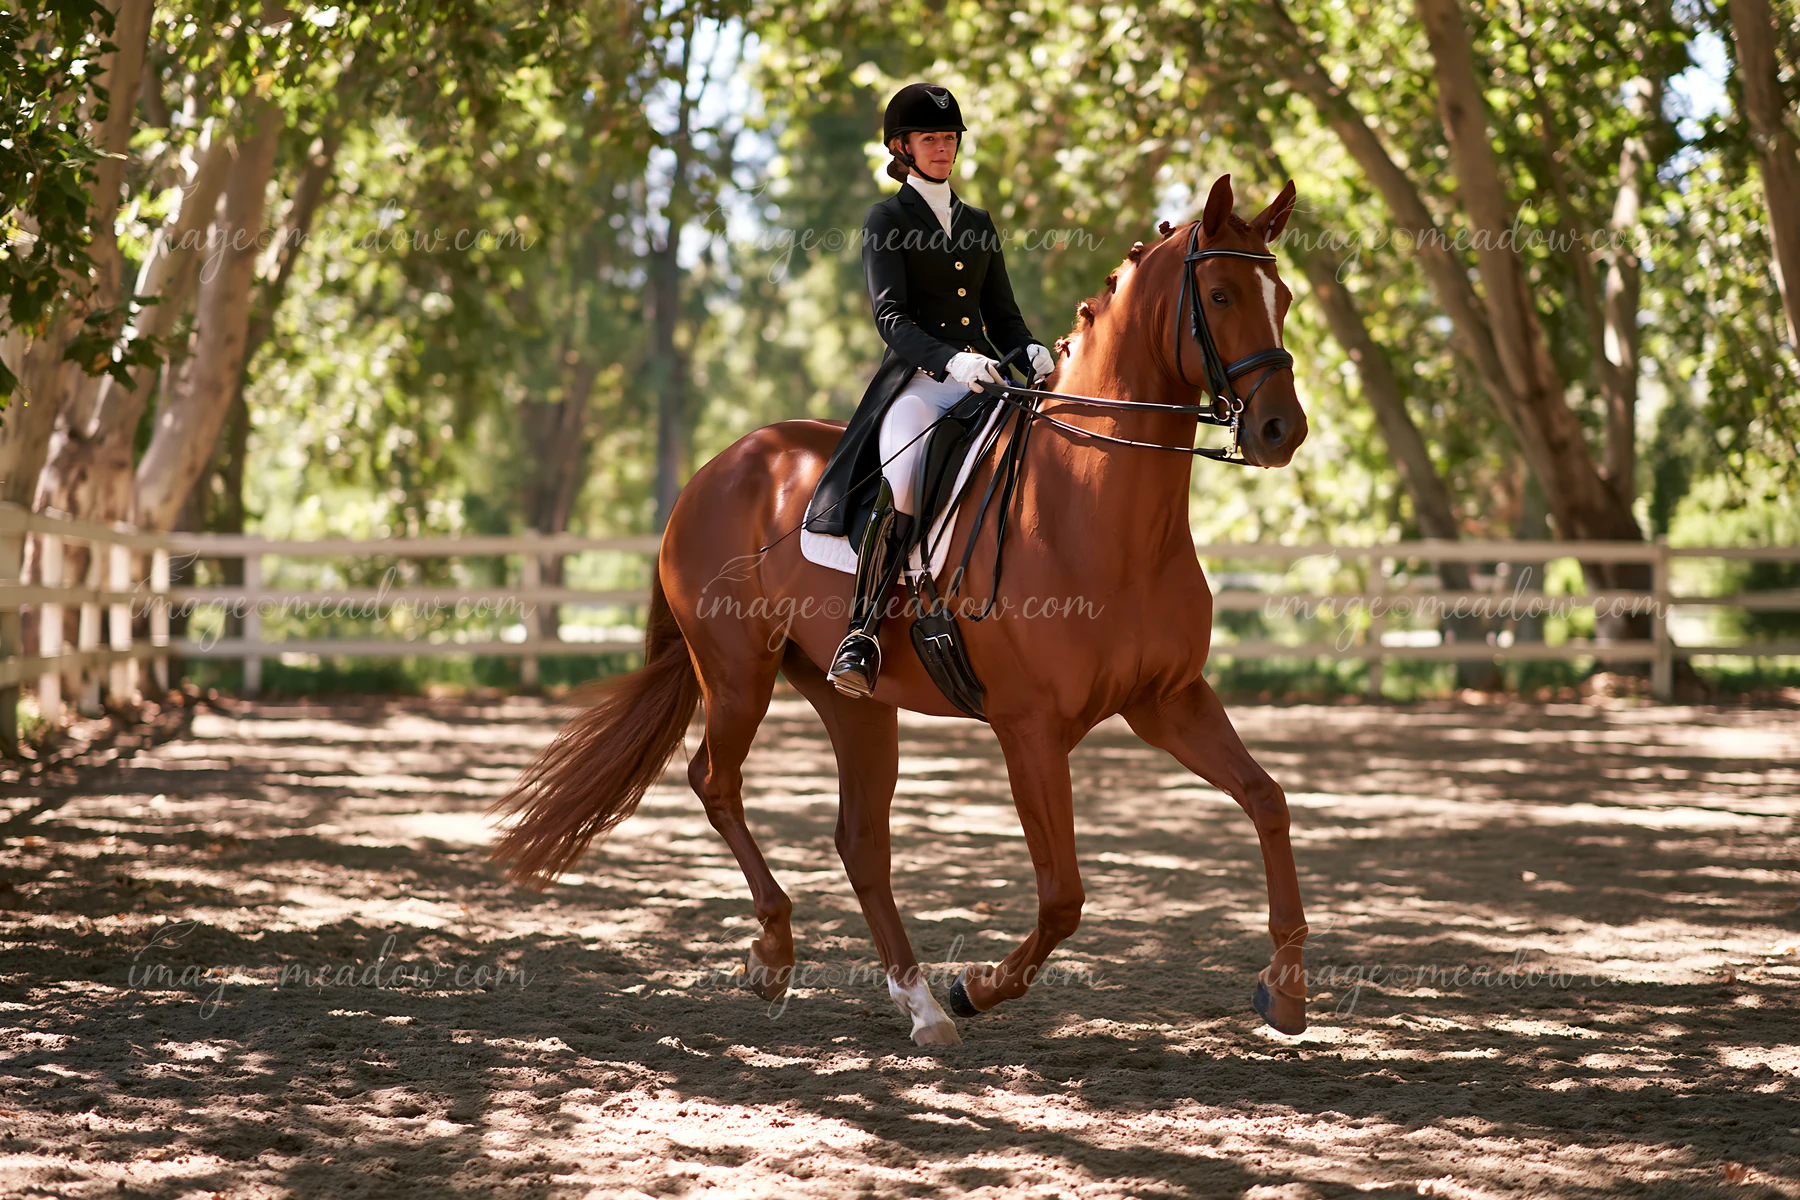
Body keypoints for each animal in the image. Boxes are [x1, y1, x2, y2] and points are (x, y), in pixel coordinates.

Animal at [490, 174, 1311, 1047]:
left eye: (1285, 297)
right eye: (1220, 295)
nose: (1281, 430)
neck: (1096, 506)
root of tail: (720, 466)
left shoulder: (1168, 700)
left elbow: (1268, 800)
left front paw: (1286, 989)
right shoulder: (1030, 729)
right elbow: (1062, 896)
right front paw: (976, 988)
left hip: (853, 701)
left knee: (859, 840)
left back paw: (917, 1002)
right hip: (738, 673)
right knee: (715, 782)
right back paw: (779, 953)